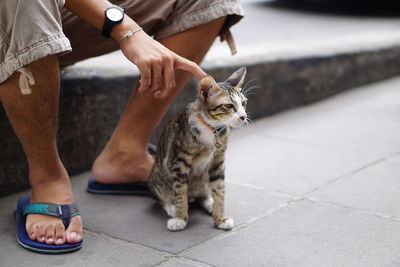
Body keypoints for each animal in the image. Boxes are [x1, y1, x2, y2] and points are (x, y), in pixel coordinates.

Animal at [148, 67, 247, 232]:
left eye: (244, 103)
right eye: (228, 105)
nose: (244, 116)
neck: (212, 129)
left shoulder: (218, 162)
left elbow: (219, 189)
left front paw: (220, 217)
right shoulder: (179, 161)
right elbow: (180, 191)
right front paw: (180, 217)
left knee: (202, 195)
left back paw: (209, 202)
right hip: (158, 177)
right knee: (162, 195)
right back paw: (171, 206)